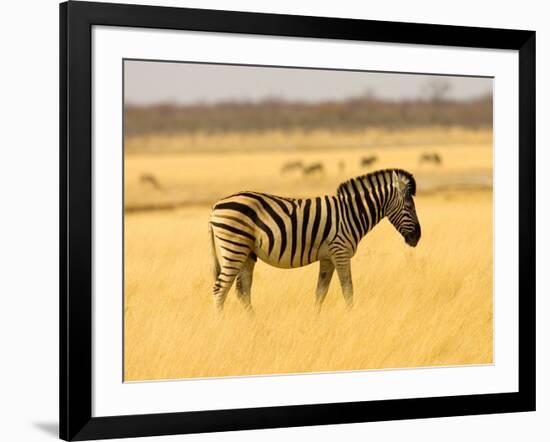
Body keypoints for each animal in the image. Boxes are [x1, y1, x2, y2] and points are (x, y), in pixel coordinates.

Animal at [208, 167, 422, 312]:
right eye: (409, 206)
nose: (418, 237)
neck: (352, 213)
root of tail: (216, 205)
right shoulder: (340, 251)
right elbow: (348, 290)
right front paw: (351, 317)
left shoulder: (328, 257)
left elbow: (320, 292)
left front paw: (316, 320)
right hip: (234, 247)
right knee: (220, 289)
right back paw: (221, 325)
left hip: (246, 252)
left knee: (242, 291)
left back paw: (254, 325)